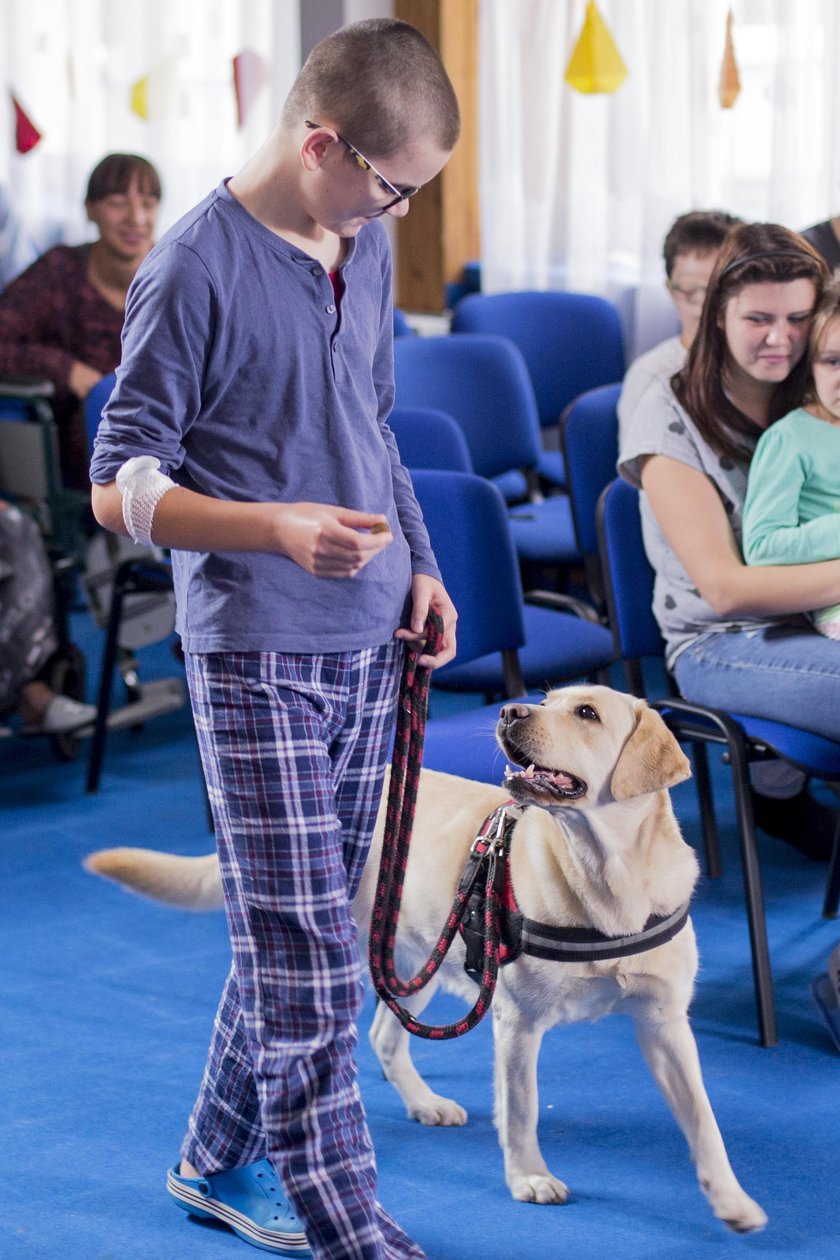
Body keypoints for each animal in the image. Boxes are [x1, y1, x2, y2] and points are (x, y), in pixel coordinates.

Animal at [85, 690, 770, 1229]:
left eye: (586, 712)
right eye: (546, 699)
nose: (510, 710)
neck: (608, 879)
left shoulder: (665, 1024)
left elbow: (704, 1119)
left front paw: (732, 1200)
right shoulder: (517, 1023)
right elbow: (521, 1108)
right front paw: (528, 1177)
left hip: (411, 957)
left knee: (386, 1036)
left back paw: (424, 1102)